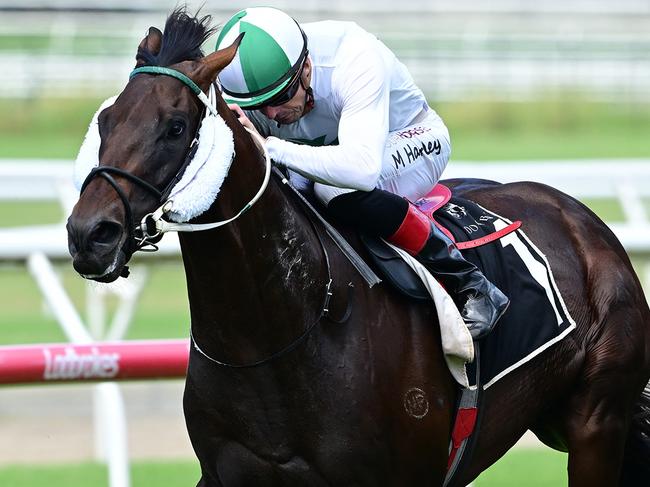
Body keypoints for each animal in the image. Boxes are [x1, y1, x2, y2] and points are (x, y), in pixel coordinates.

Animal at [67, 8, 648, 487]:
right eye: (105, 120)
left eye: (175, 126)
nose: (89, 234)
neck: (275, 337)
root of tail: (581, 219)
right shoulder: (226, 474)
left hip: (596, 423)